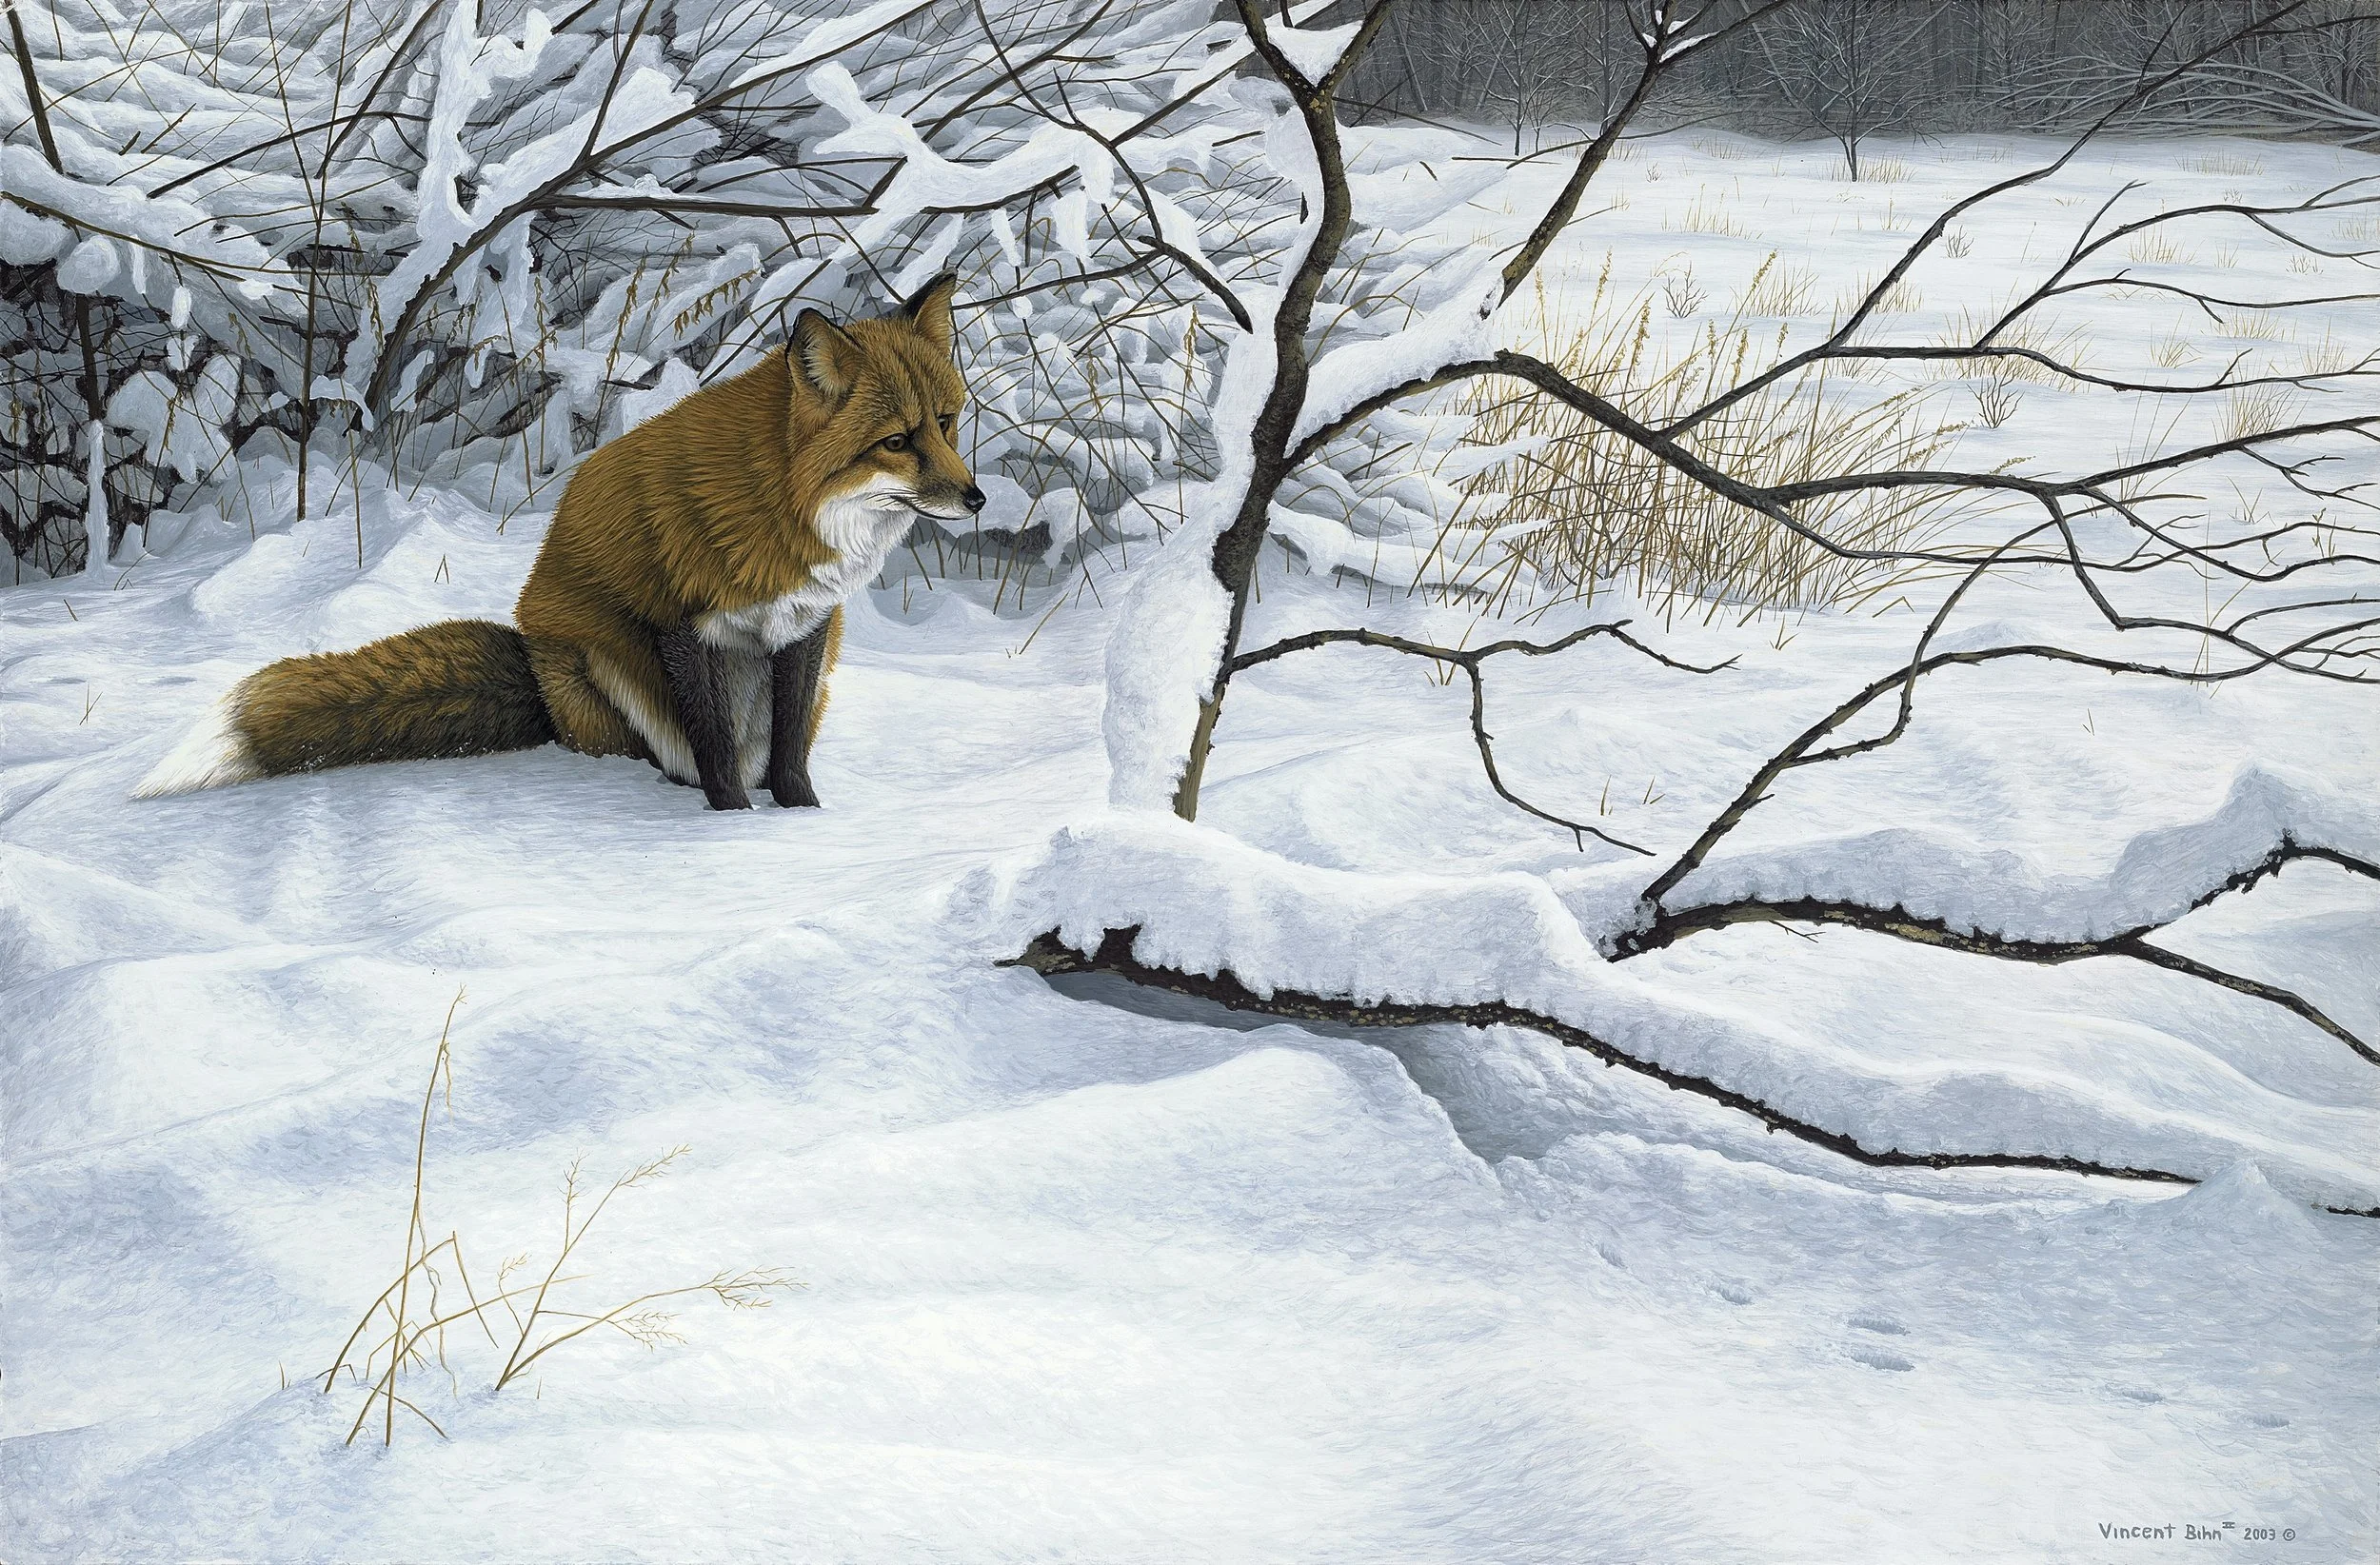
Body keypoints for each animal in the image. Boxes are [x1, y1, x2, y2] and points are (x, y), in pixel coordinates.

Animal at [134, 274, 981, 812]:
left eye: (946, 424)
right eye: (897, 441)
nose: (974, 499)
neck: (784, 509)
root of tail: (536, 672)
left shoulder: (806, 627)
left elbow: (790, 748)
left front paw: (802, 819)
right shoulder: (680, 624)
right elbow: (712, 747)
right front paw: (733, 824)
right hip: (605, 667)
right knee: (655, 752)